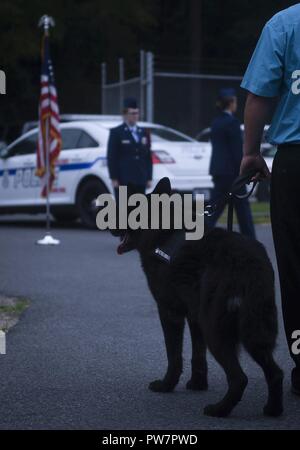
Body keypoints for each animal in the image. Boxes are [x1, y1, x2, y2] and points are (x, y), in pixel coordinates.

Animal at [113, 178, 284, 416]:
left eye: (126, 210)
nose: (108, 225)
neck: (161, 232)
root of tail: (247, 265)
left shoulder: (170, 312)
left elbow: (174, 355)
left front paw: (167, 385)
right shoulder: (194, 317)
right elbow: (198, 354)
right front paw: (198, 383)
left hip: (216, 330)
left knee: (239, 378)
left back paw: (220, 410)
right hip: (253, 331)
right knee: (275, 373)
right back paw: (272, 409)